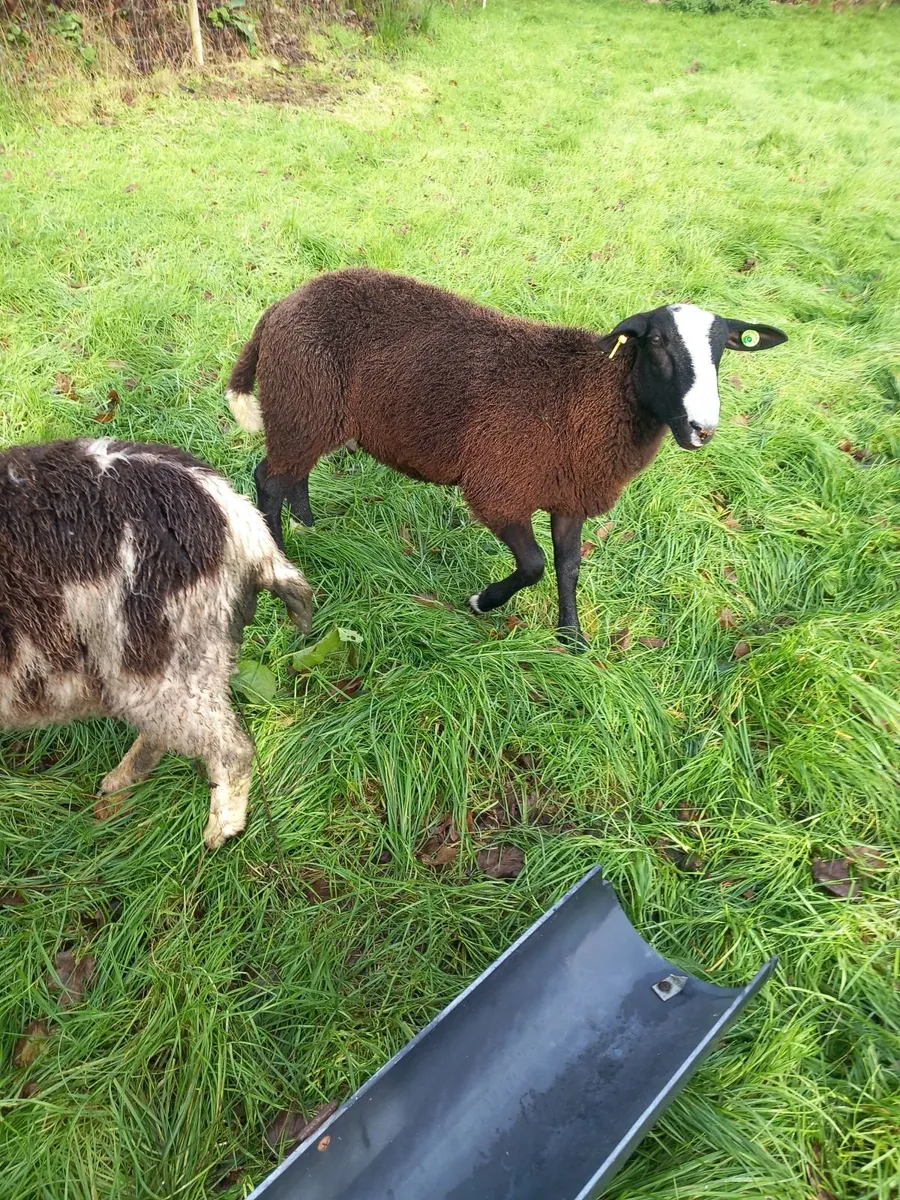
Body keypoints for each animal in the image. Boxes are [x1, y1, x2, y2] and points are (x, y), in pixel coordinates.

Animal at [226, 268, 786, 646]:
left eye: (722, 350)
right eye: (656, 342)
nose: (701, 430)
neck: (588, 395)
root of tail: (282, 306)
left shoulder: (570, 495)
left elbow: (567, 566)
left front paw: (571, 638)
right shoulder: (500, 487)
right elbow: (535, 564)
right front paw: (482, 602)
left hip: (310, 415)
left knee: (290, 476)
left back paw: (308, 522)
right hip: (302, 404)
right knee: (268, 479)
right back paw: (283, 560)